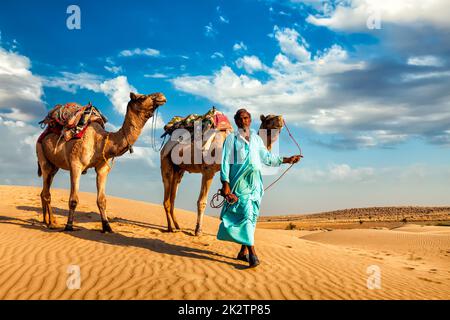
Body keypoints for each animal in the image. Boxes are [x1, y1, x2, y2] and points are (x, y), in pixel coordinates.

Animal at [36, 92, 167, 232]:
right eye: (142, 97)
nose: (161, 96)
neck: (100, 140)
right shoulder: (76, 165)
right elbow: (73, 200)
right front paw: (69, 226)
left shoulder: (102, 168)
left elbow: (102, 200)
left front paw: (107, 226)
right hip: (42, 155)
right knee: (46, 192)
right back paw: (51, 223)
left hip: (54, 167)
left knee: (44, 191)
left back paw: (47, 220)